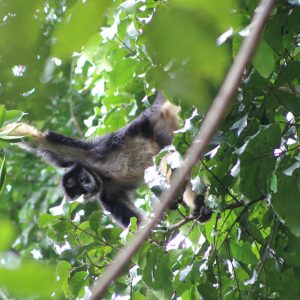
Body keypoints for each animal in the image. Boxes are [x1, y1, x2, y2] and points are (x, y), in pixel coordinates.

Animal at [1, 94, 211, 227]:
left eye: (82, 180)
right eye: (80, 192)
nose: (88, 186)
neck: (103, 175)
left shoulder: (89, 154)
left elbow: (41, 141)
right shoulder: (107, 195)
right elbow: (140, 227)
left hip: (158, 124)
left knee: (168, 154)